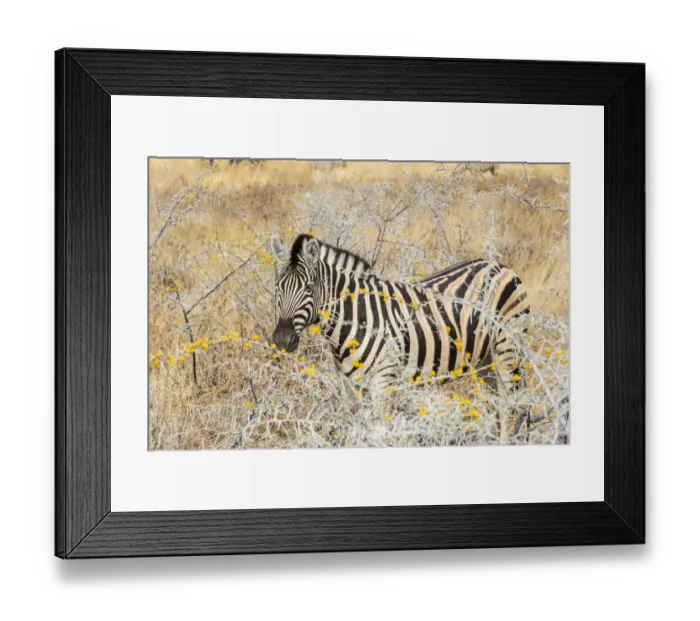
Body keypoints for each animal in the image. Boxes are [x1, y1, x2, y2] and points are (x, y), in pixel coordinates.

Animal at [271, 234, 531, 442]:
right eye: (278, 287)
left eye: (308, 288)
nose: (282, 340)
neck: (356, 317)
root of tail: (499, 266)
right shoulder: (357, 387)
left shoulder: (384, 380)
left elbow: (379, 433)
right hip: (486, 360)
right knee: (495, 405)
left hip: (508, 348)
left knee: (507, 405)